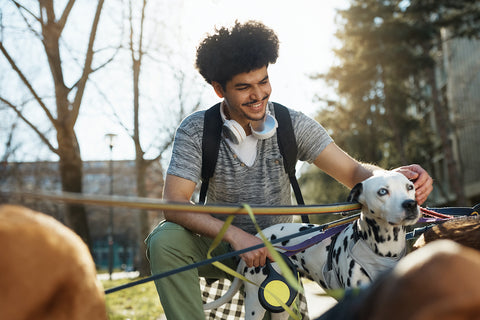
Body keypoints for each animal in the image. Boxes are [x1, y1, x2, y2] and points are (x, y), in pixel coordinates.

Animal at [205, 171, 420, 318]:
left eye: (410, 187)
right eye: (382, 191)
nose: (411, 204)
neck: (383, 250)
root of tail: (259, 237)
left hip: (282, 306)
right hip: (256, 304)